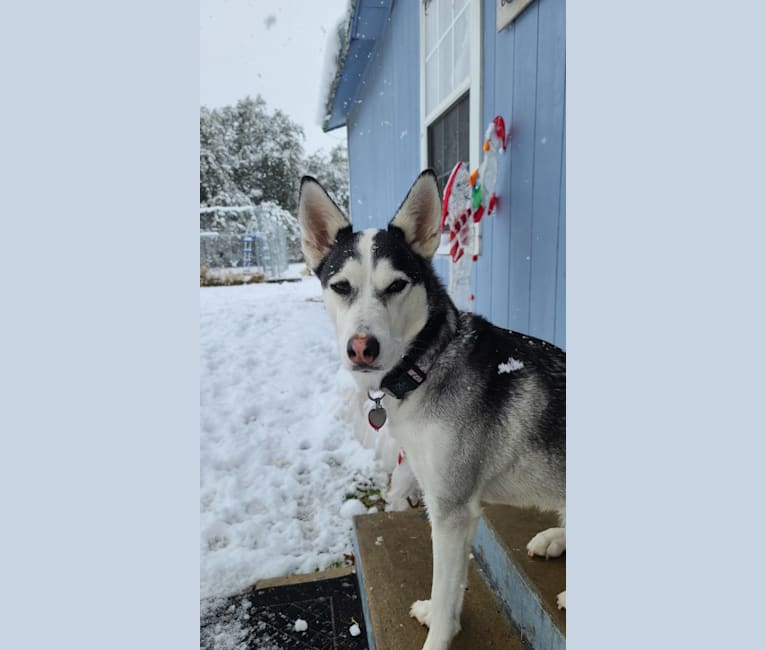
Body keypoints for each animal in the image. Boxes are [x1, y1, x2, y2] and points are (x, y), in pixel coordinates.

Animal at [296, 170, 568, 644]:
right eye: (342, 286)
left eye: (396, 286)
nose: (362, 348)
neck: (426, 363)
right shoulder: (452, 506)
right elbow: (451, 590)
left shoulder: (451, 509)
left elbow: (445, 594)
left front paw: (438, 638)